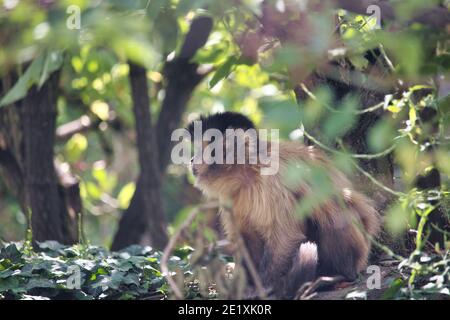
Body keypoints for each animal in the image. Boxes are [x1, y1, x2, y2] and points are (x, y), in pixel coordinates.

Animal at [186, 111, 380, 298]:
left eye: (203, 150)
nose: (191, 159)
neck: (250, 172)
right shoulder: (230, 196)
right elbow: (245, 237)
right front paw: (248, 286)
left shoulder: (274, 178)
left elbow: (285, 236)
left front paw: (266, 287)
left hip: (359, 251)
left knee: (332, 209)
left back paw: (337, 275)